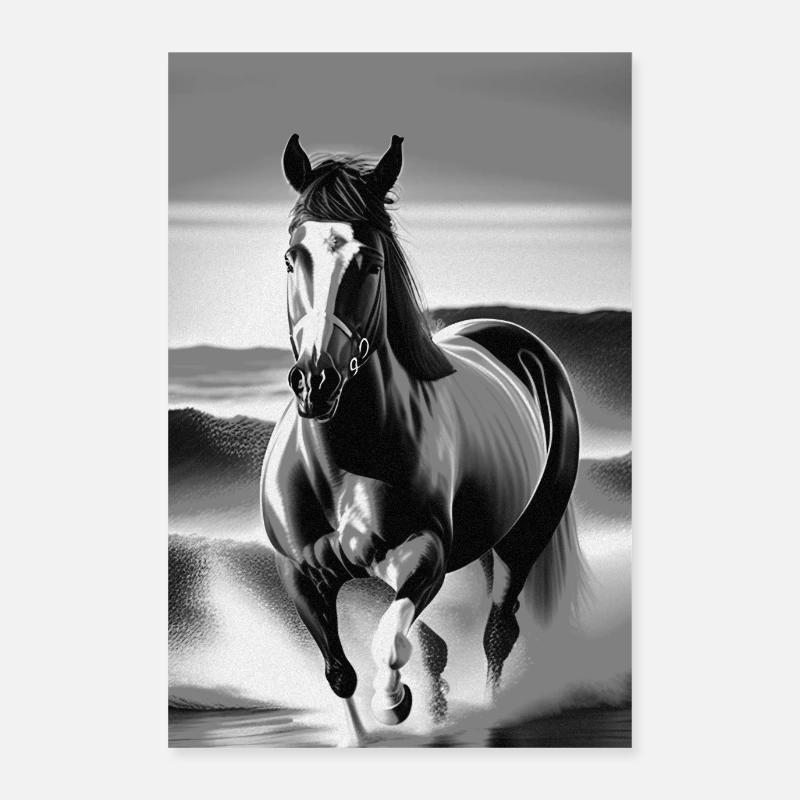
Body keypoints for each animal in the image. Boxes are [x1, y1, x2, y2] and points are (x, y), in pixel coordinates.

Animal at [260, 134, 587, 746]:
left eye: (370, 262)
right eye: (294, 257)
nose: (316, 382)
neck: (347, 463)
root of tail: (521, 342)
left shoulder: (423, 554)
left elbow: (389, 642)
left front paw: (394, 703)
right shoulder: (300, 575)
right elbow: (341, 671)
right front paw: (365, 733)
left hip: (524, 536)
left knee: (497, 632)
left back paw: (489, 715)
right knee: (443, 642)